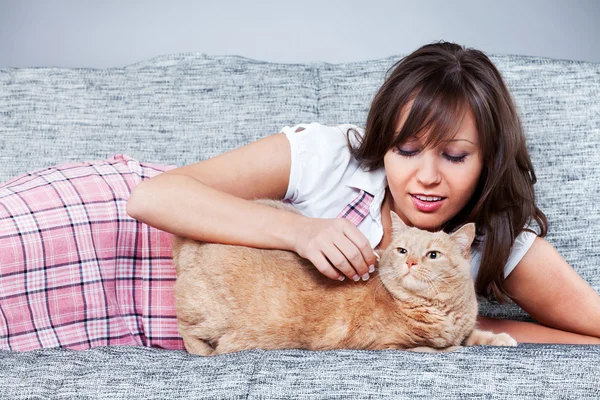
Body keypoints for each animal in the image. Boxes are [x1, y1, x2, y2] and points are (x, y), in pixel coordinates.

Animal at [172, 198, 516, 354]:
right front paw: (451, 349)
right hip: (215, 319)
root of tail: (187, 242)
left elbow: (476, 335)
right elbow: (432, 348)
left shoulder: (464, 329)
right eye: (402, 250)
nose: (411, 262)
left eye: (433, 255)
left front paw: (500, 338)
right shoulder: (386, 345)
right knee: (188, 330)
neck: (440, 311)